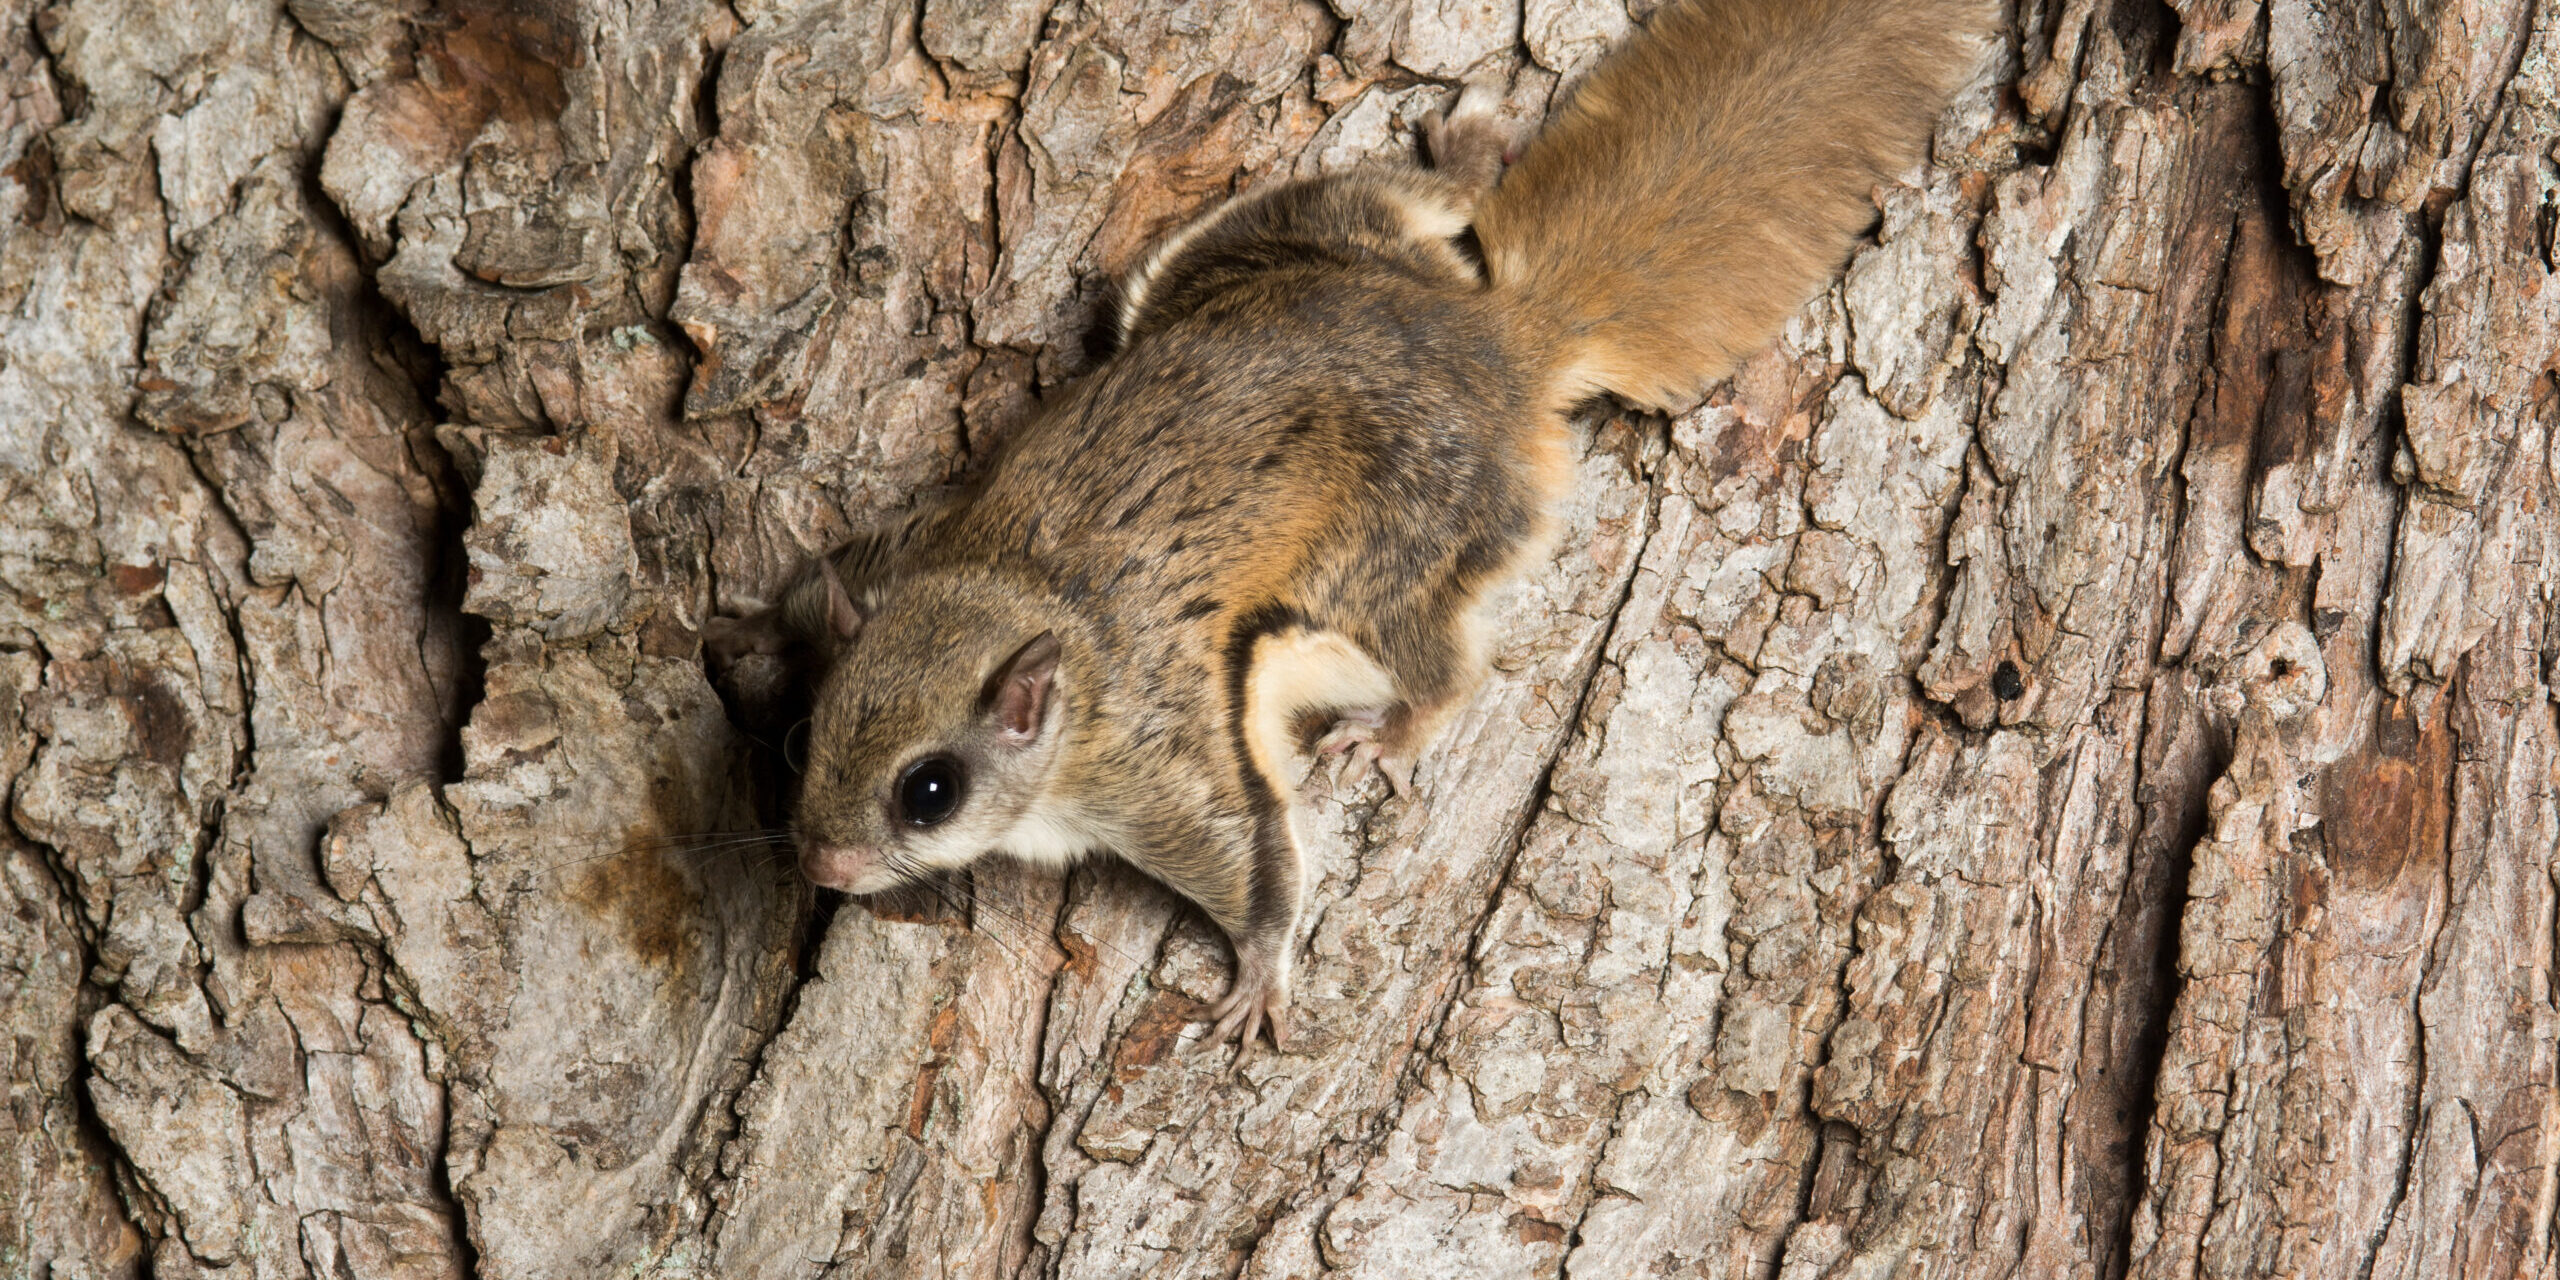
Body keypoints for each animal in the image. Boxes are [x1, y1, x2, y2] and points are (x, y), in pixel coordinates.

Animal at [707, 0, 1993, 1050]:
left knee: (1443, 662)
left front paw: (1255, 980)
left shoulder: (1160, 761)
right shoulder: (905, 553)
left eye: (928, 790)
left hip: (1386, 557)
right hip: (1264, 241)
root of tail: (1501, 348)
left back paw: (1394, 726)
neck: (1011, 596)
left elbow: (1251, 856)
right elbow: (813, 583)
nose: (821, 859)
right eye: (803, 737)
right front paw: (751, 628)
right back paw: (1464, 150)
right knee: (1414, 203)